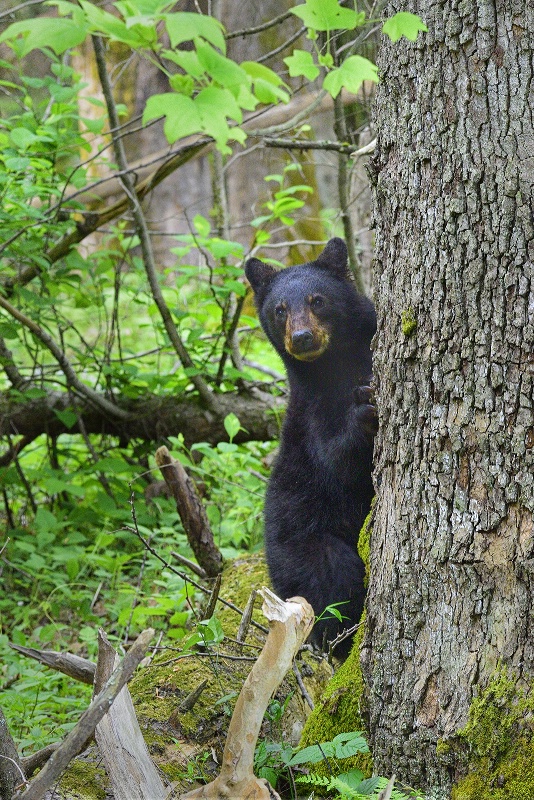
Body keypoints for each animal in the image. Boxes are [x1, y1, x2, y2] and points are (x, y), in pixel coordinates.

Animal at [246, 238, 376, 656]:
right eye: (279, 309)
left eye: (317, 300)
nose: (302, 337)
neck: (334, 367)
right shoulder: (313, 410)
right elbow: (336, 462)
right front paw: (365, 410)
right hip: (304, 549)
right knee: (333, 579)